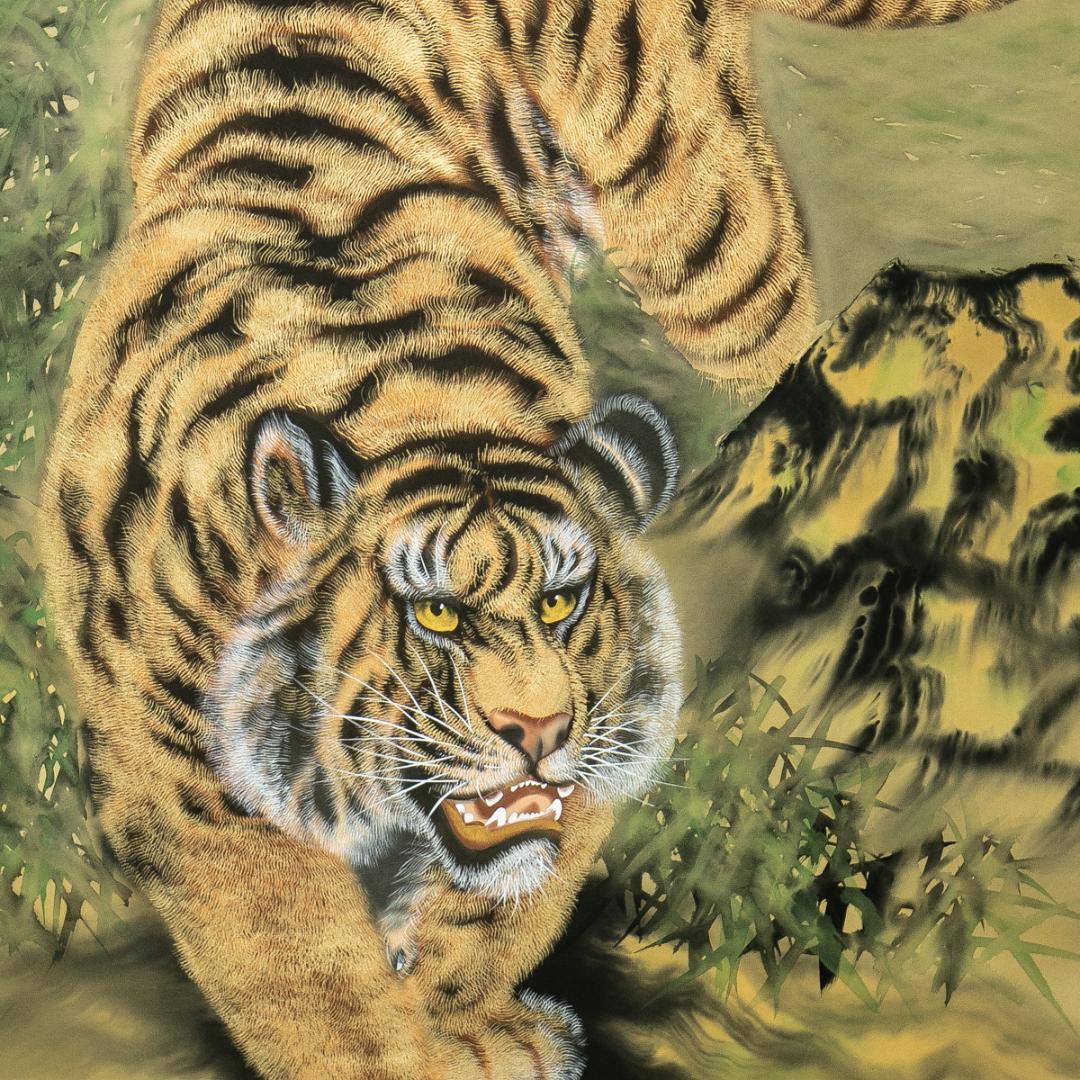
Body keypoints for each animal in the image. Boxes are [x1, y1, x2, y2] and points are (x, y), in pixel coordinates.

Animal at [40, 0, 1020, 1077]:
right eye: (434, 615)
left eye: (561, 601)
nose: (538, 733)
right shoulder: (186, 776)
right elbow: (305, 968)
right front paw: (408, 1044)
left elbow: (498, 905)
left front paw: (467, 1016)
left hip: (702, 226)